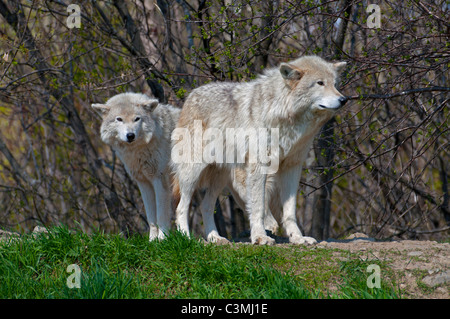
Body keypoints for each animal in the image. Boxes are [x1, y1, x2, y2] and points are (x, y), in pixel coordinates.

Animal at [92, 94, 180, 241]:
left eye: (137, 119)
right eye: (119, 119)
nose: (130, 135)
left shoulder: (161, 181)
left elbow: (161, 215)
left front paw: (162, 240)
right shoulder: (143, 183)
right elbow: (151, 218)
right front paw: (152, 241)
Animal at [172, 55, 348, 245]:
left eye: (335, 84)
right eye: (320, 83)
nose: (344, 99)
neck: (285, 115)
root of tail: (191, 95)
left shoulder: (292, 167)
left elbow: (289, 211)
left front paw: (298, 238)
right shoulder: (259, 165)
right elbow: (258, 206)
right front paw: (260, 237)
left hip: (220, 177)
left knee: (206, 205)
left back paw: (215, 238)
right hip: (192, 173)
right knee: (181, 207)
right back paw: (186, 238)